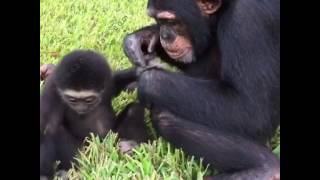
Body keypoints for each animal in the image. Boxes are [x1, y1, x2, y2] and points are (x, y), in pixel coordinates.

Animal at [40, 50, 150, 179]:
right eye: (73, 100)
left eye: (89, 100)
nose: (81, 107)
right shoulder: (52, 92)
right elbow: (46, 128)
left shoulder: (108, 83)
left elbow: (119, 82)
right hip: (86, 150)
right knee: (57, 130)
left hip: (112, 137)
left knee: (134, 110)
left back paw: (134, 145)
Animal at [123, 0, 280, 179]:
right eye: (158, 20)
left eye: (171, 21)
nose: (164, 36)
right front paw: (140, 39)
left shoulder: (248, 18)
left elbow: (252, 109)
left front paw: (147, 81)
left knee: (164, 116)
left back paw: (266, 168)